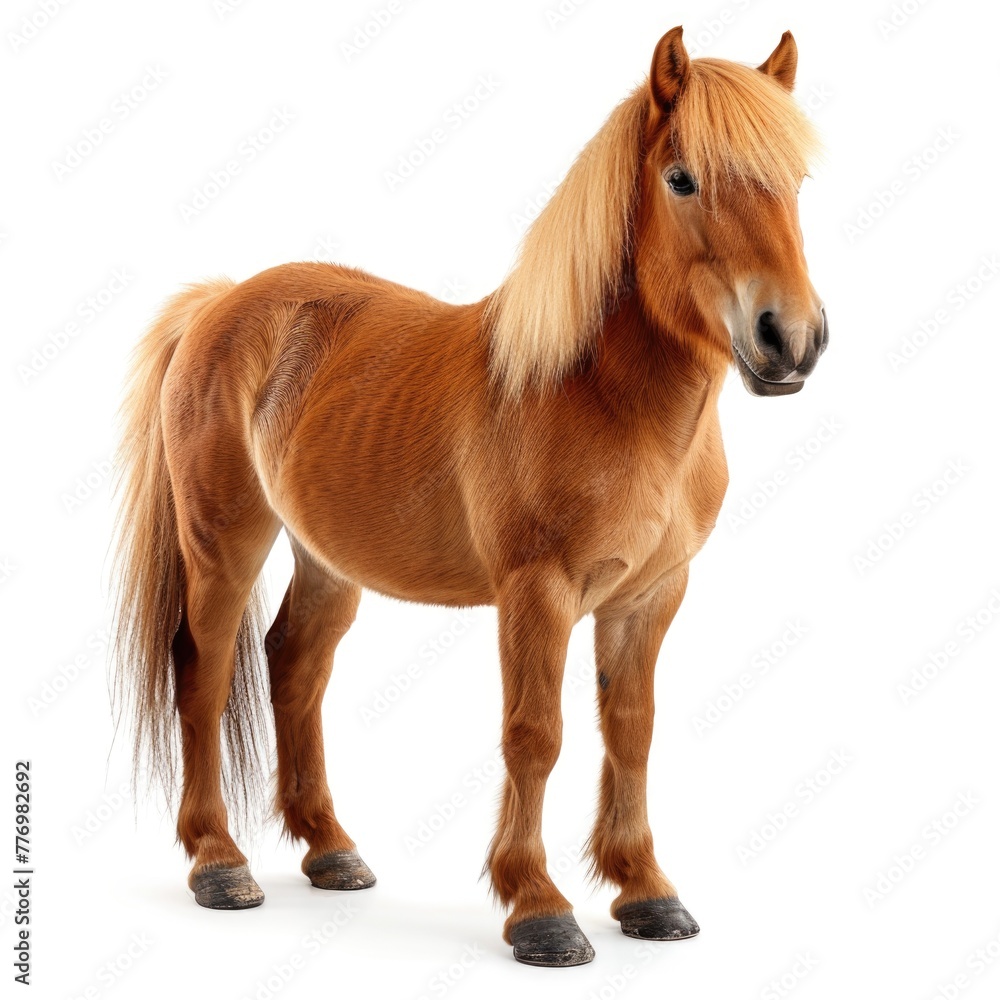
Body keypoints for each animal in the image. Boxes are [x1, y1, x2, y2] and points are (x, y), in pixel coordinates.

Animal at [111, 25, 826, 967]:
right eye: (682, 179)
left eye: (797, 181)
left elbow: (630, 730)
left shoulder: (649, 598)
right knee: (204, 670)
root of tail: (221, 304)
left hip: (326, 560)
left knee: (294, 667)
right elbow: (536, 735)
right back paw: (219, 863)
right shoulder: (537, 592)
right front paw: (539, 908)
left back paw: (331, 850)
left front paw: (645, 893)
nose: (791, 339)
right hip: (222, 543)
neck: (601, 395)